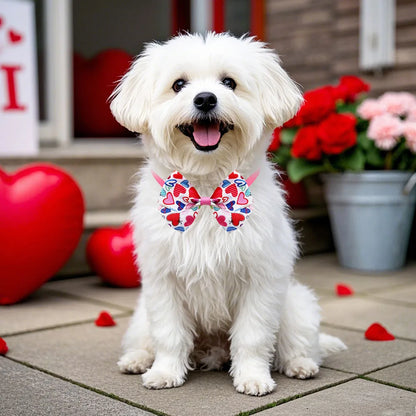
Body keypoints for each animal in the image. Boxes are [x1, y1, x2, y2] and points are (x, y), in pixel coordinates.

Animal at [109, 32, 346, 396]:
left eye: (229, 83)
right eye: (179, 85)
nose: (205, 99)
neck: (207, 192)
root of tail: (213, 350)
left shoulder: (260, 280)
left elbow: (253, 337)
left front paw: (253, 377)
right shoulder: (163, 281)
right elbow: (169, 334)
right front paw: (164, 372)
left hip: (296, 304)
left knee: (299, 344)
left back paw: (300, 364)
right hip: (140, 316)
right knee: (144, 339)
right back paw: (136, 359)